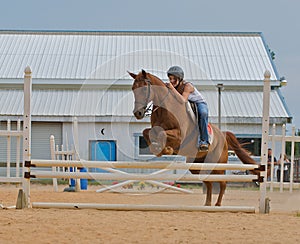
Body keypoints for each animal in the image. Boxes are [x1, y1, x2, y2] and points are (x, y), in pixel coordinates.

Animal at [127, 69, 258, 207]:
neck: (165, 109)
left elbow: (162, 134)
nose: (138, 113)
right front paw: (157, 149)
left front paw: (167, 149)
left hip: (217, 164)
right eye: (133, 89)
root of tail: (223, 135)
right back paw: (207, 204)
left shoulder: (179, 136)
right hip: (196, 164)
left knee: (222, 182)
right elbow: (147, 132)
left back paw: (217, 205)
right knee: (208, 181)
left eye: (143, 89)